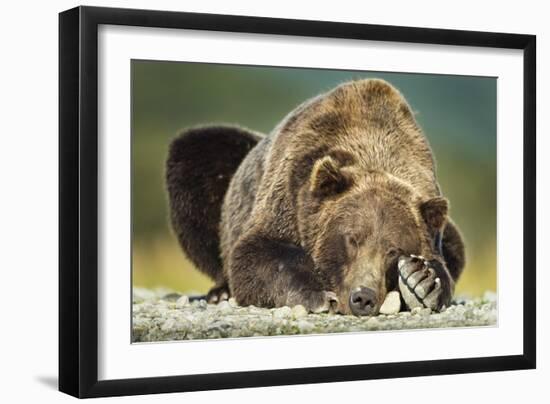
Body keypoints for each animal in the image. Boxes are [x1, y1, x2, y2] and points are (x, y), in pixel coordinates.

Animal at [167, 79, 466, 318]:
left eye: (393, 250)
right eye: (351, 238)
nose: (363, 297)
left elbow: (442, 263)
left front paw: (422, 281)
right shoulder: (291, 190)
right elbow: (256, 252)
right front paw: (318, 295)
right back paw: (220, 292)